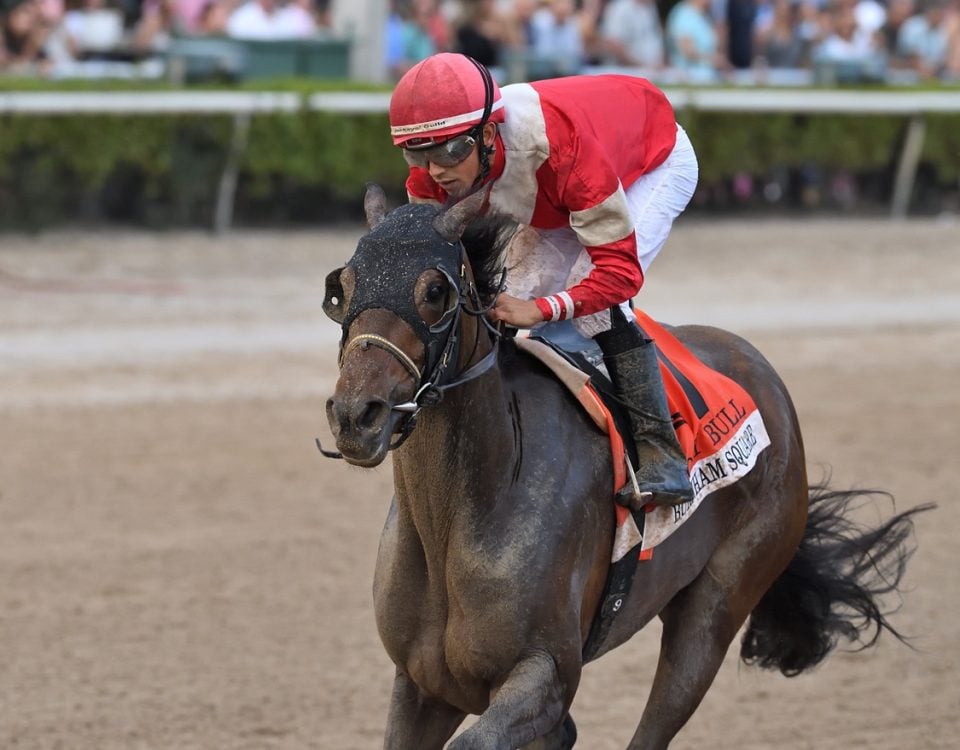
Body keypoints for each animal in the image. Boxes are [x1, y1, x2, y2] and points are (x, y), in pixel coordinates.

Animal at [322, 187, 928, 750]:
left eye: (435, 291)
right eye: (341, 288)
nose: (355, 414)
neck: (459, 518)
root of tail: (765, 375)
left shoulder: (545, 675)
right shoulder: (422, 687)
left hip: (715, 609)